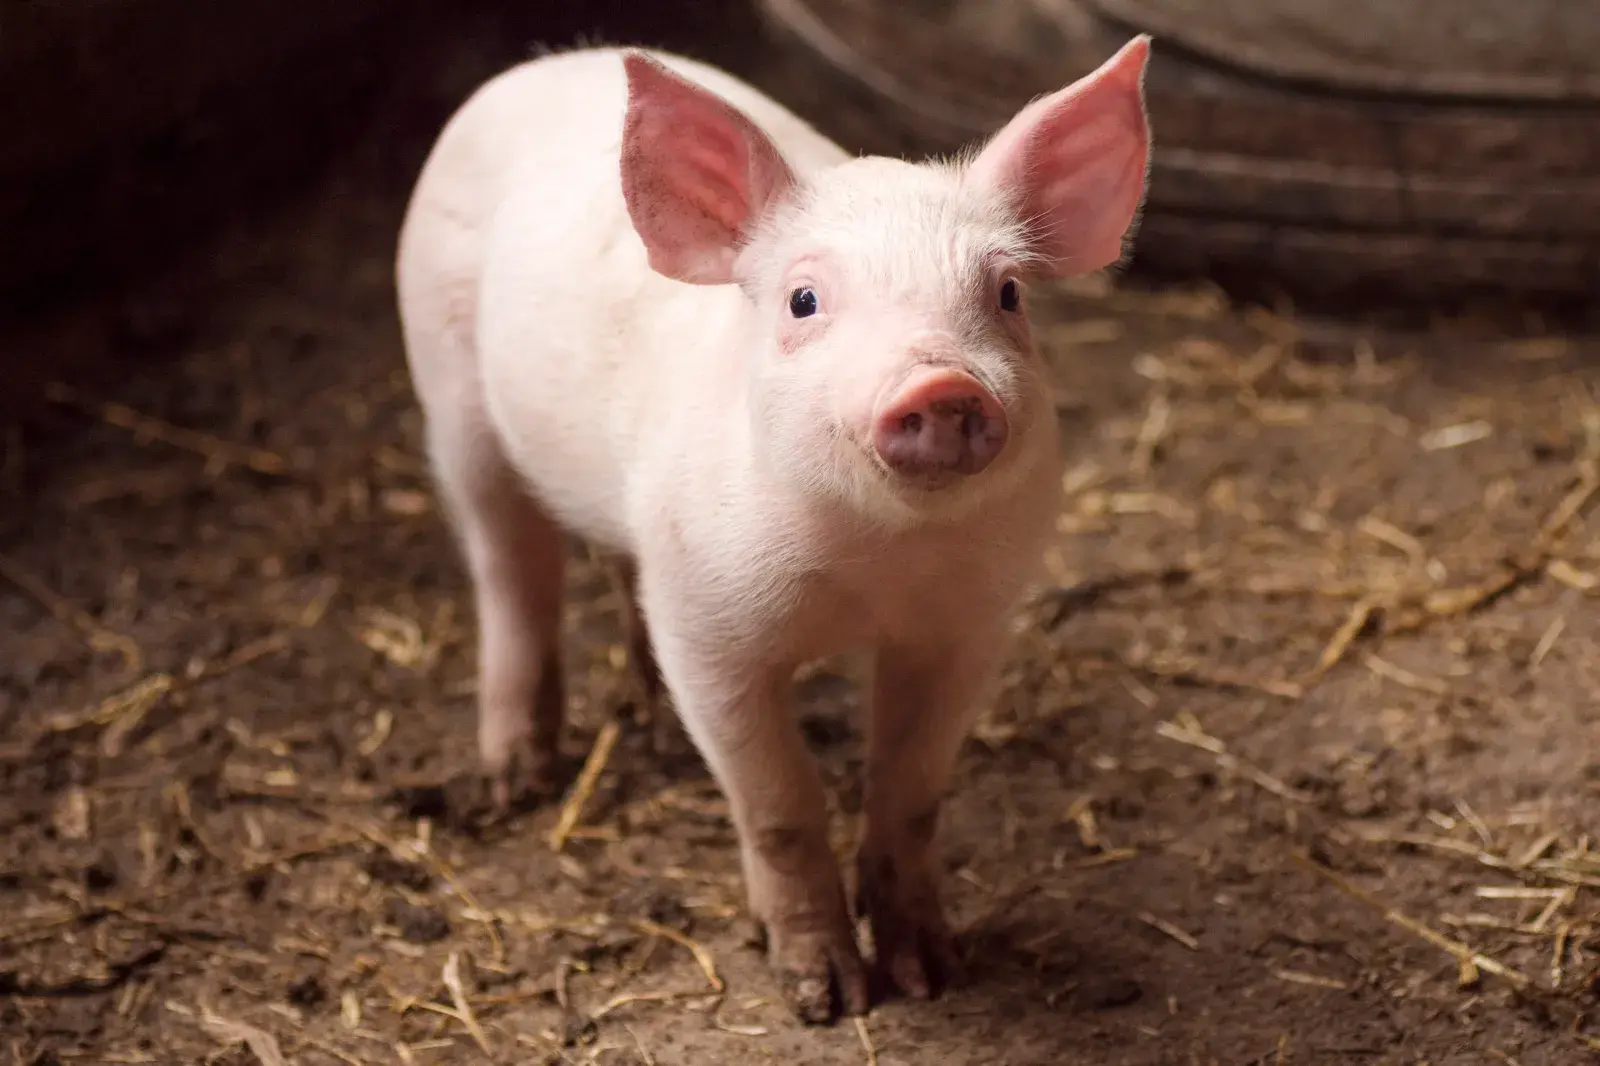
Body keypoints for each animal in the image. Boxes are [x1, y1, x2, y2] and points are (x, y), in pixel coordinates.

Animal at [396, 36, 1152, 1022]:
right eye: (803, 301)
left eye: (1009, 293)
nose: (943, 383)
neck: (874, 568)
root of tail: (536, 69)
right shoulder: (708, 626)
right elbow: (782, 807)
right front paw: (825, 998)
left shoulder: (970, 626)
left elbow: (910, 797)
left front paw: (931, 974)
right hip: (450, 391)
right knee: (510, 569)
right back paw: (517, 781)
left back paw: (639, 713)